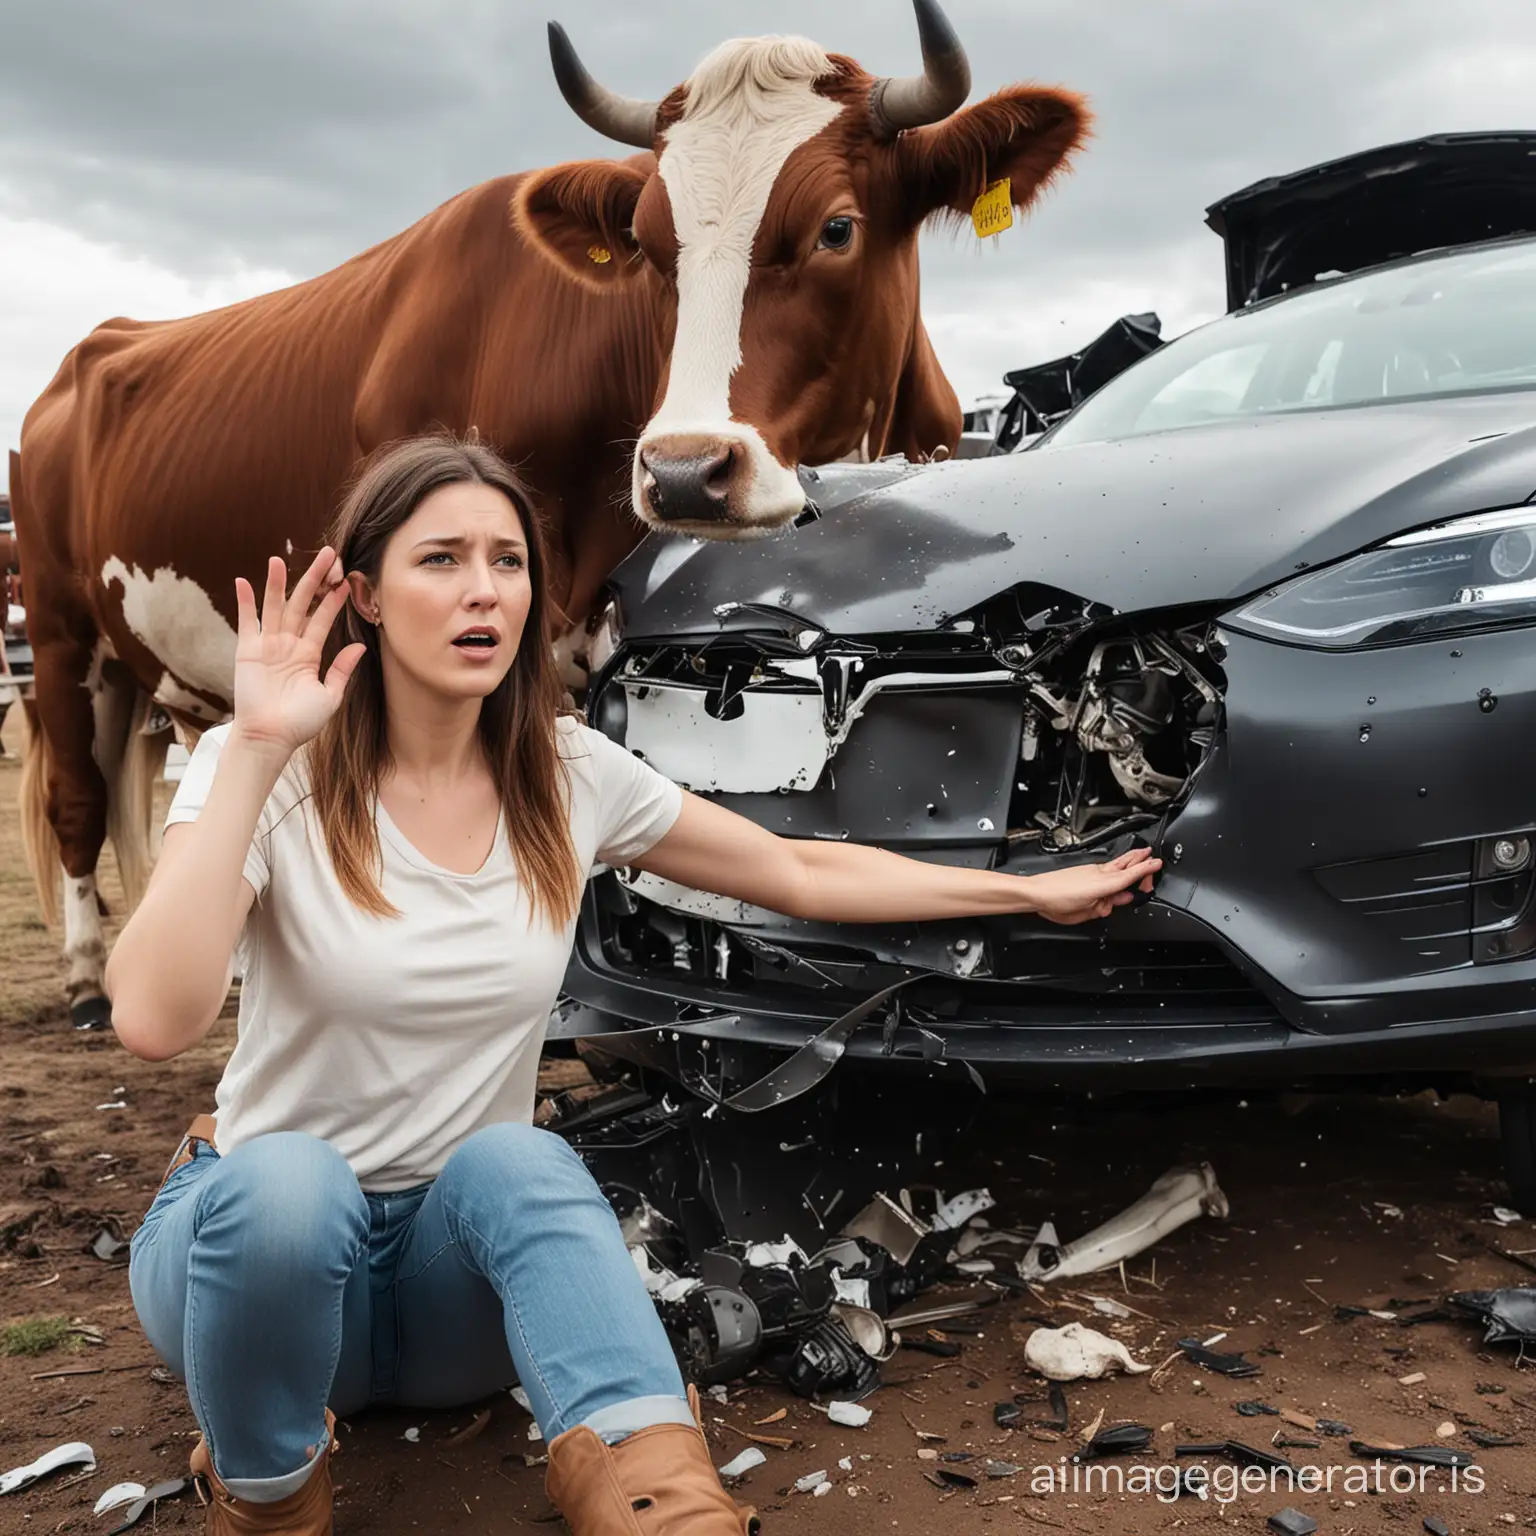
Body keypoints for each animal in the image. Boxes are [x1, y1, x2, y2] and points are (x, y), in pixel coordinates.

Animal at [14, 3, 1093, 1032]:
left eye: (836, 229)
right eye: (651, 248)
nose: (686, 472)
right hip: (59, 634)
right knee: (77, 798)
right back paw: (90, 980)